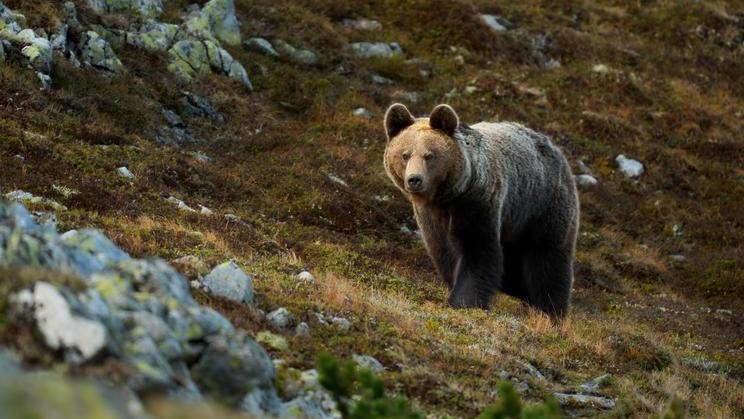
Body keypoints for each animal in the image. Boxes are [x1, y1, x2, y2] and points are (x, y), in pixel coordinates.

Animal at [383, 103, 579, 318]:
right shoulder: (431, 218)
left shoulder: (477, 204)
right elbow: (445, 253)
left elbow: (478, 253)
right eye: (405, 154)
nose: (414, 179)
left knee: (547, 259)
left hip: (542, 207)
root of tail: (557, 151)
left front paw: (465, 301)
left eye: (429, 155)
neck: (447, 197)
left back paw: (551, 310)